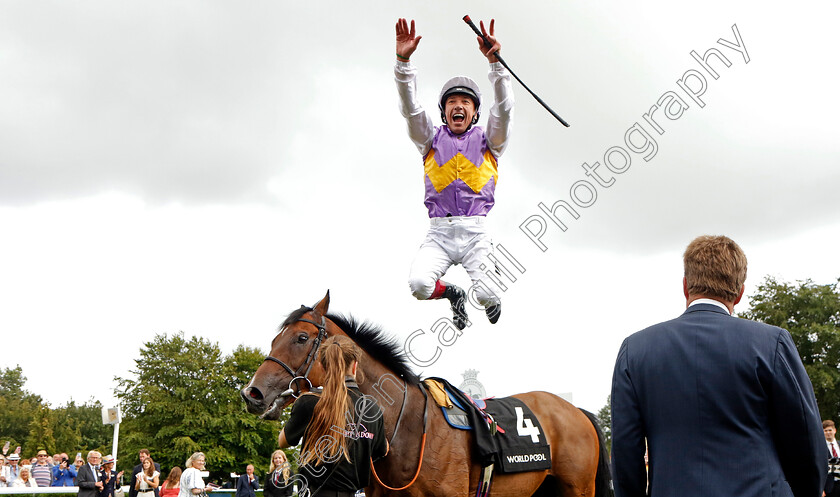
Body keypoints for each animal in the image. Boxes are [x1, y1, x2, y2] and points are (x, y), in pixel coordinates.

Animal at [240, 290, 608, 496]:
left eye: (301, 338)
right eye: (275, 339)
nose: (252, 393)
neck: (405, 428)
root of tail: (576, 411)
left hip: (578, 489)